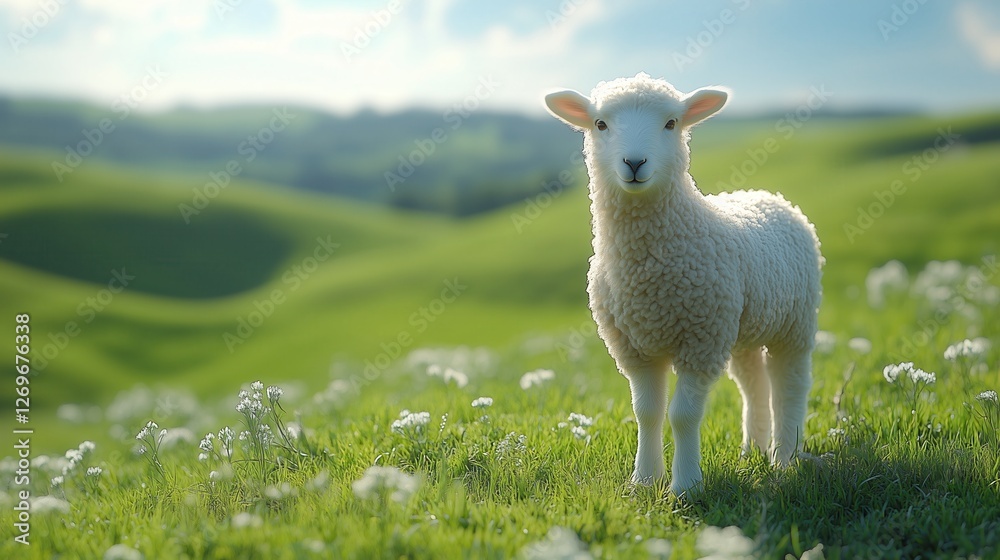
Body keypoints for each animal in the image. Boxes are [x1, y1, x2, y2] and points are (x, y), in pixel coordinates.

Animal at [543, 73, 823, 495]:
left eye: (671, 123)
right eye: (600, 124)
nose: (635, 162)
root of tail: (767, 196)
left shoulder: (700, 341)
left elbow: (683, 416)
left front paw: (686, 486)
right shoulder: (635, 348)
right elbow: (647, 413)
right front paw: (644, 481)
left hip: (794, 323)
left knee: (789, 385)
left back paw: (784, 459)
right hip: (741, 328)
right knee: (753, 384)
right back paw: (752, 453)